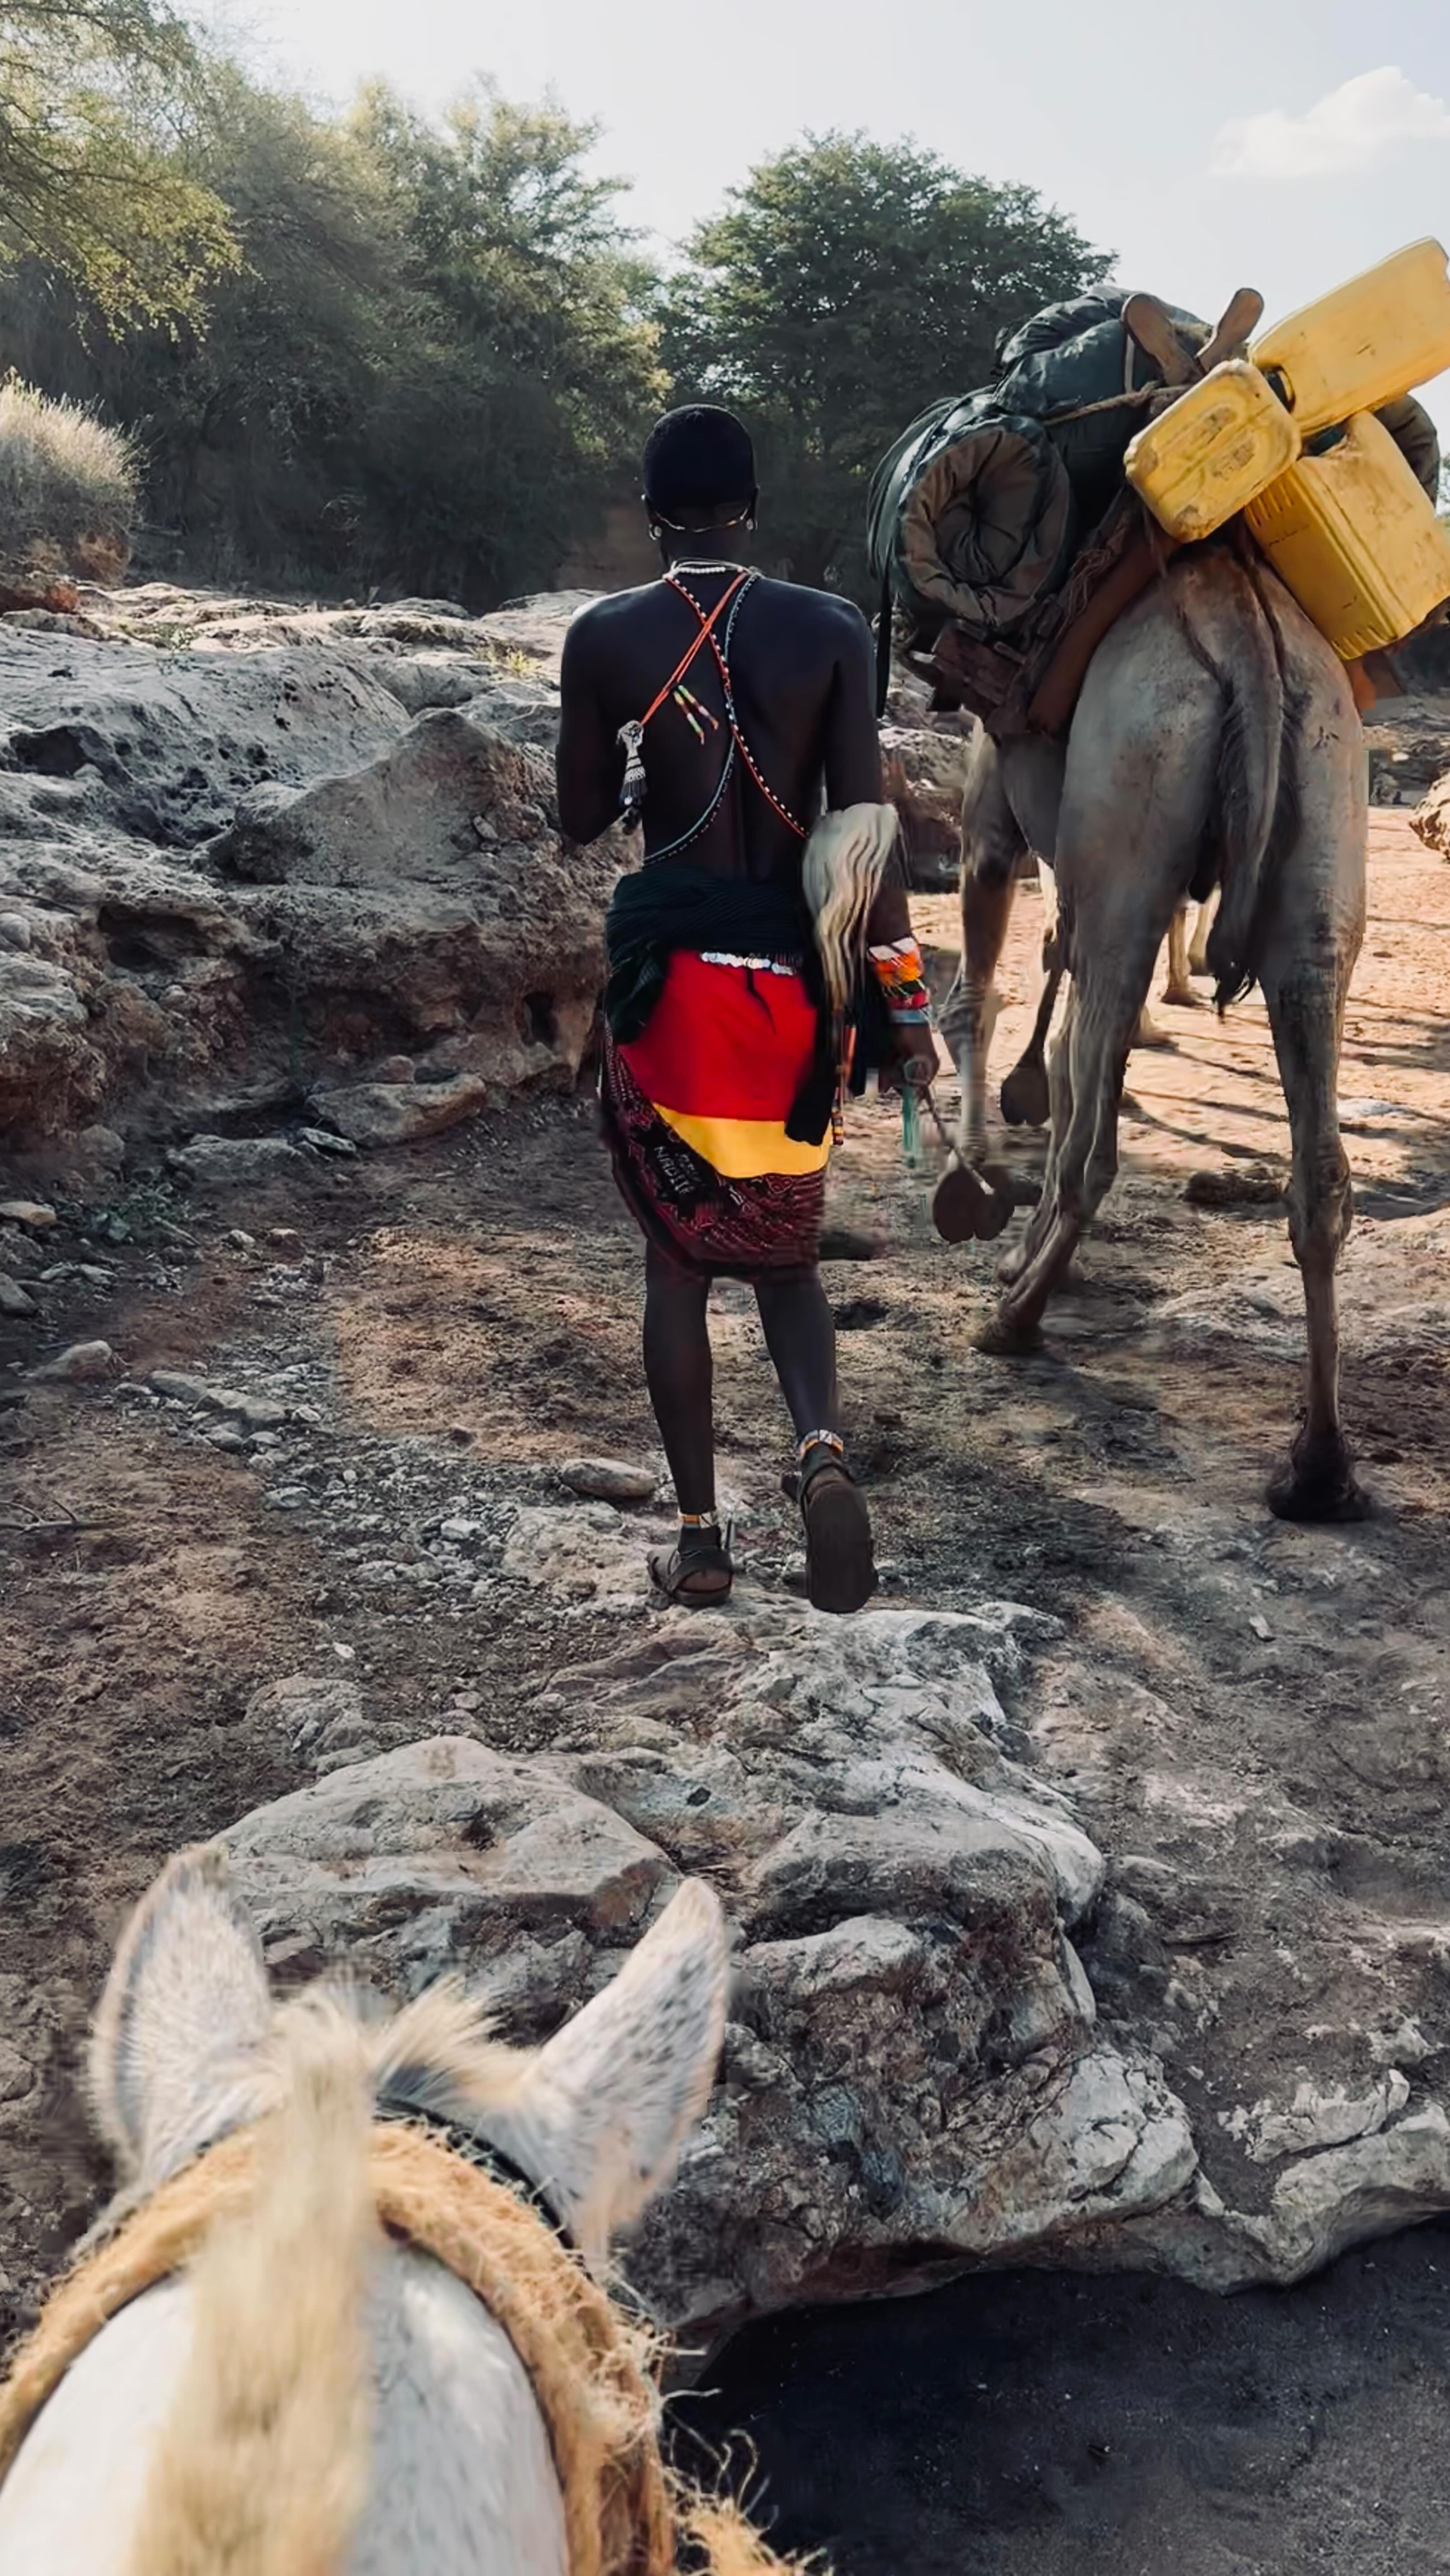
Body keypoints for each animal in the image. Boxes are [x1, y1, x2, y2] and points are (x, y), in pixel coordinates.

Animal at [936, 544, 1367, 1522]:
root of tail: (1250, 641)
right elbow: (1073, 1047)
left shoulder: (994, 811)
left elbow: (994, 996)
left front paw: (983, 1185)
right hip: (1326, 807)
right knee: (1319, 1158)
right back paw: (1318, 1468)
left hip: (1136, 789)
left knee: (1097, 1135)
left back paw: (1013, 1321)